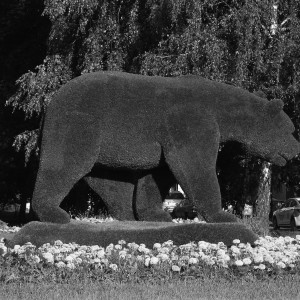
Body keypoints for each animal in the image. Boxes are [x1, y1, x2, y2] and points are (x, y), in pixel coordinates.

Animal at [31, 71, 298, 224]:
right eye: (290, 129)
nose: (296, 149)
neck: (224, 111)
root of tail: (50, 103)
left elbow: (158, 174)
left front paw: (156, 214)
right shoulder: (190, 121)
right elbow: (195, 167)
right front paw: (223, 215)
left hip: (106, 148)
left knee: (109, 183)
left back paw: (129, 216)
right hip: (79, 125)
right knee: (65, 164)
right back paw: (54, 213)